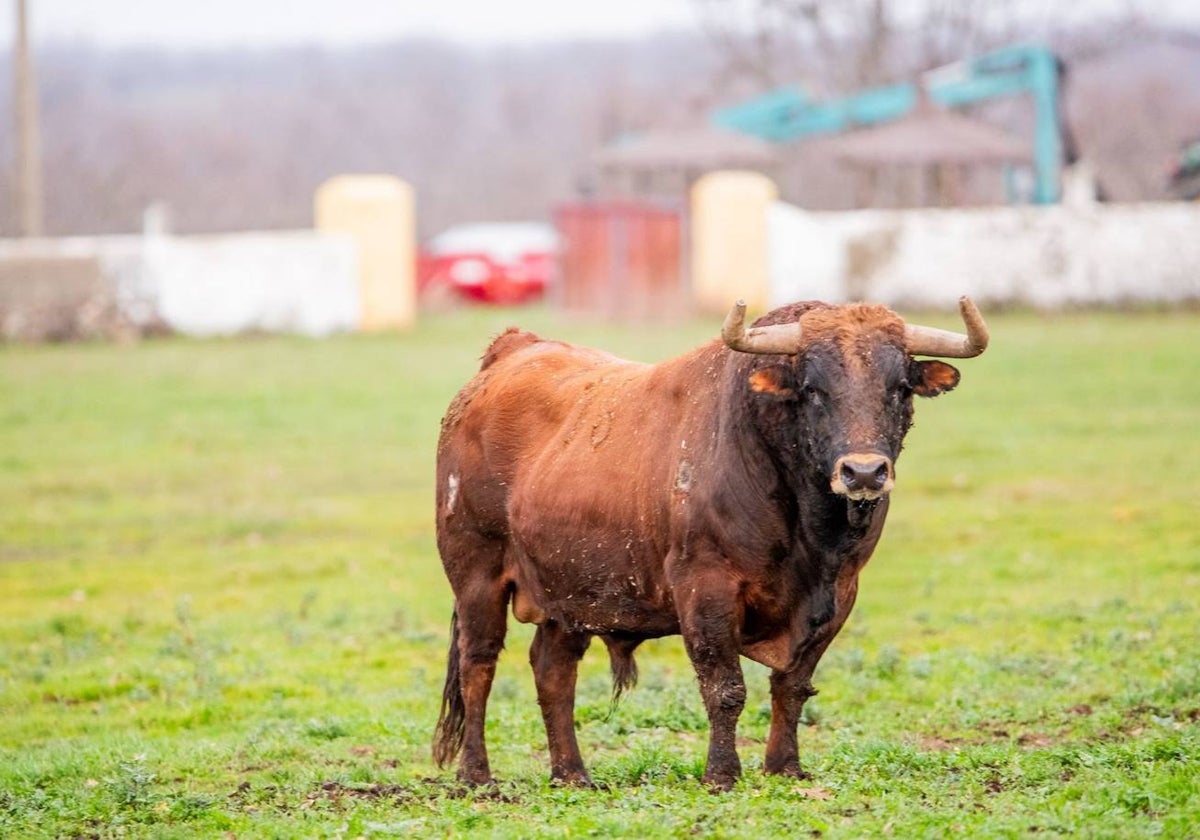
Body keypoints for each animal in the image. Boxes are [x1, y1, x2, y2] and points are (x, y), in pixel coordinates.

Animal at [429, 295, 984, 787]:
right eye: (811, 388)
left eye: (901, 387)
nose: (864, 472)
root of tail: (512, 350)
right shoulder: (706, 589)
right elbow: (725, 689)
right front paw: (721, 773)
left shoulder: (839, 595)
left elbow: (792, 686)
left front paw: (784, 766)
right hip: (476, 575)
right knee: (478, 666)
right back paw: (476, 775)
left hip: (570, 594)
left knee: (553, 672)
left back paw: (572, 774)